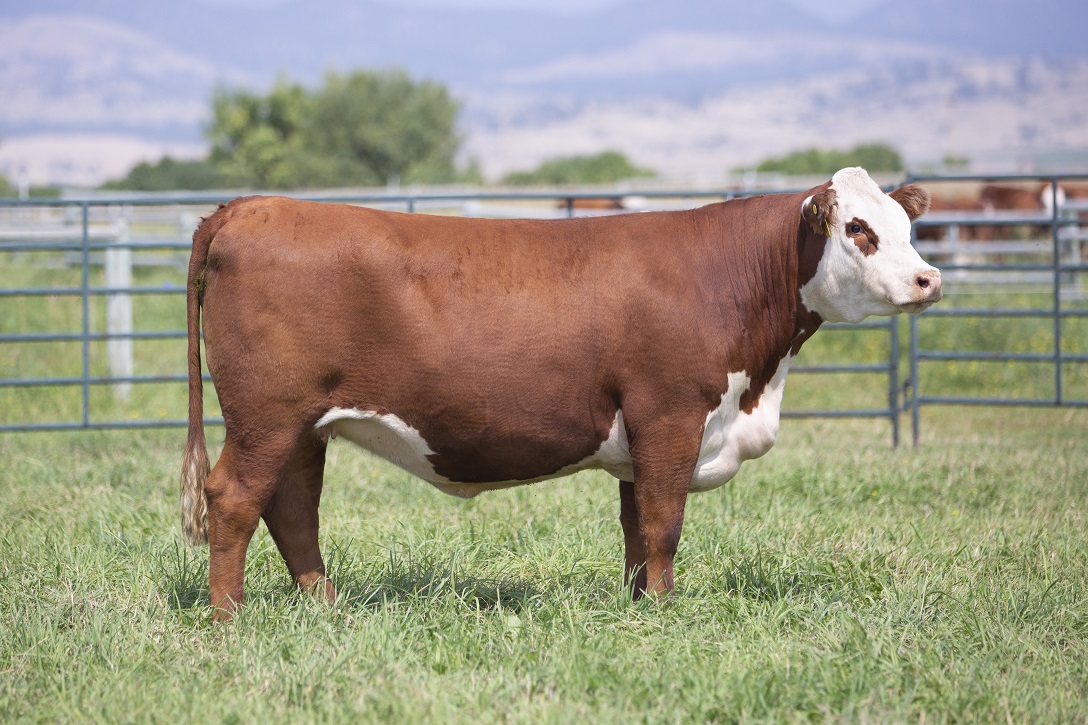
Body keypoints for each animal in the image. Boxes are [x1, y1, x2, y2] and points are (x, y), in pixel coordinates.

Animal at [181, 166, 940, 619]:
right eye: (858, 229)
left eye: (908, 229)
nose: (928, 279)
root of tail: (249, 206)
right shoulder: (670, 415)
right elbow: (665, 523)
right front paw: (665, 612)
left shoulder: (640, 437)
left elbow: (636, 528)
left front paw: (639, 603)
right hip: (266, 416)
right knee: (235, 498)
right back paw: (230, 616)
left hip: (304, 425)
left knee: (292, 510)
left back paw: (325, 606)